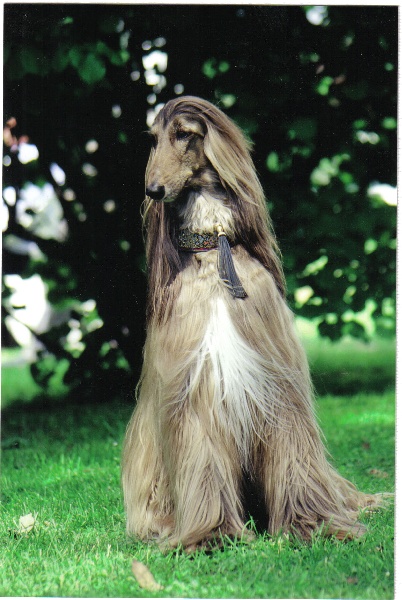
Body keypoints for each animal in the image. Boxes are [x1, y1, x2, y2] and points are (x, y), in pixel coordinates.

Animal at [122, 96, 382, 549]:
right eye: (153, 140)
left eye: (184, 134)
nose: (153, 190)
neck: (214, 247)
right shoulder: (194, 386)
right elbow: (203, 456)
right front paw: (210, 534)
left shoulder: (277, 379)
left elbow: (294, 455)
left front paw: (315, 524)